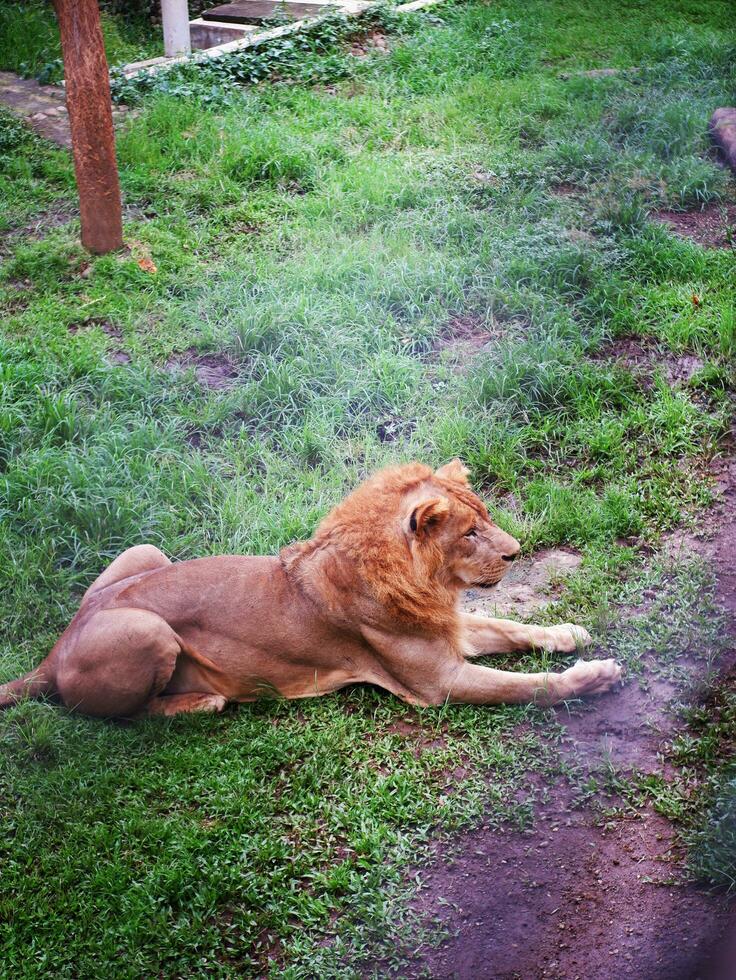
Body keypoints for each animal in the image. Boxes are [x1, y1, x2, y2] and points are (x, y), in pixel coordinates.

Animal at [0, 460, 620, 720]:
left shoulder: (448, 628)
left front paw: (566, 632)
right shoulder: (437, 682)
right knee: (123, 718)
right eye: (470, 534)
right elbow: (527, 688)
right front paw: (593, 676)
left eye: (486, 516)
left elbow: (511, 626)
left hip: (144, 554)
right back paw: (201, 702)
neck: (426, 584)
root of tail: (54, 652)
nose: (516, 552)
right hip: (144, 629)